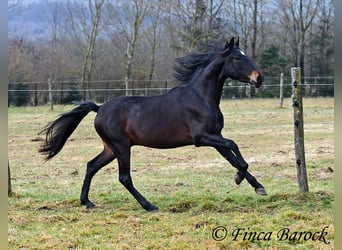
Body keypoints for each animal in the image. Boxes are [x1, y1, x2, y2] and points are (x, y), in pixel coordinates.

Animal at [38, 37, 266, 211]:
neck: (201, 97)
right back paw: (149, 205)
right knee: (124, 177)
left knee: (91, 166)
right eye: (237, 57)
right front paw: (239, 178)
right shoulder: (202, 138)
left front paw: (257, 186)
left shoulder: (215, 137)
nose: (259, 78)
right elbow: (234, 147)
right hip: (121, 146)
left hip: (110, 148)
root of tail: (99, 108)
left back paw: (87, 202)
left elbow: (233, 158)